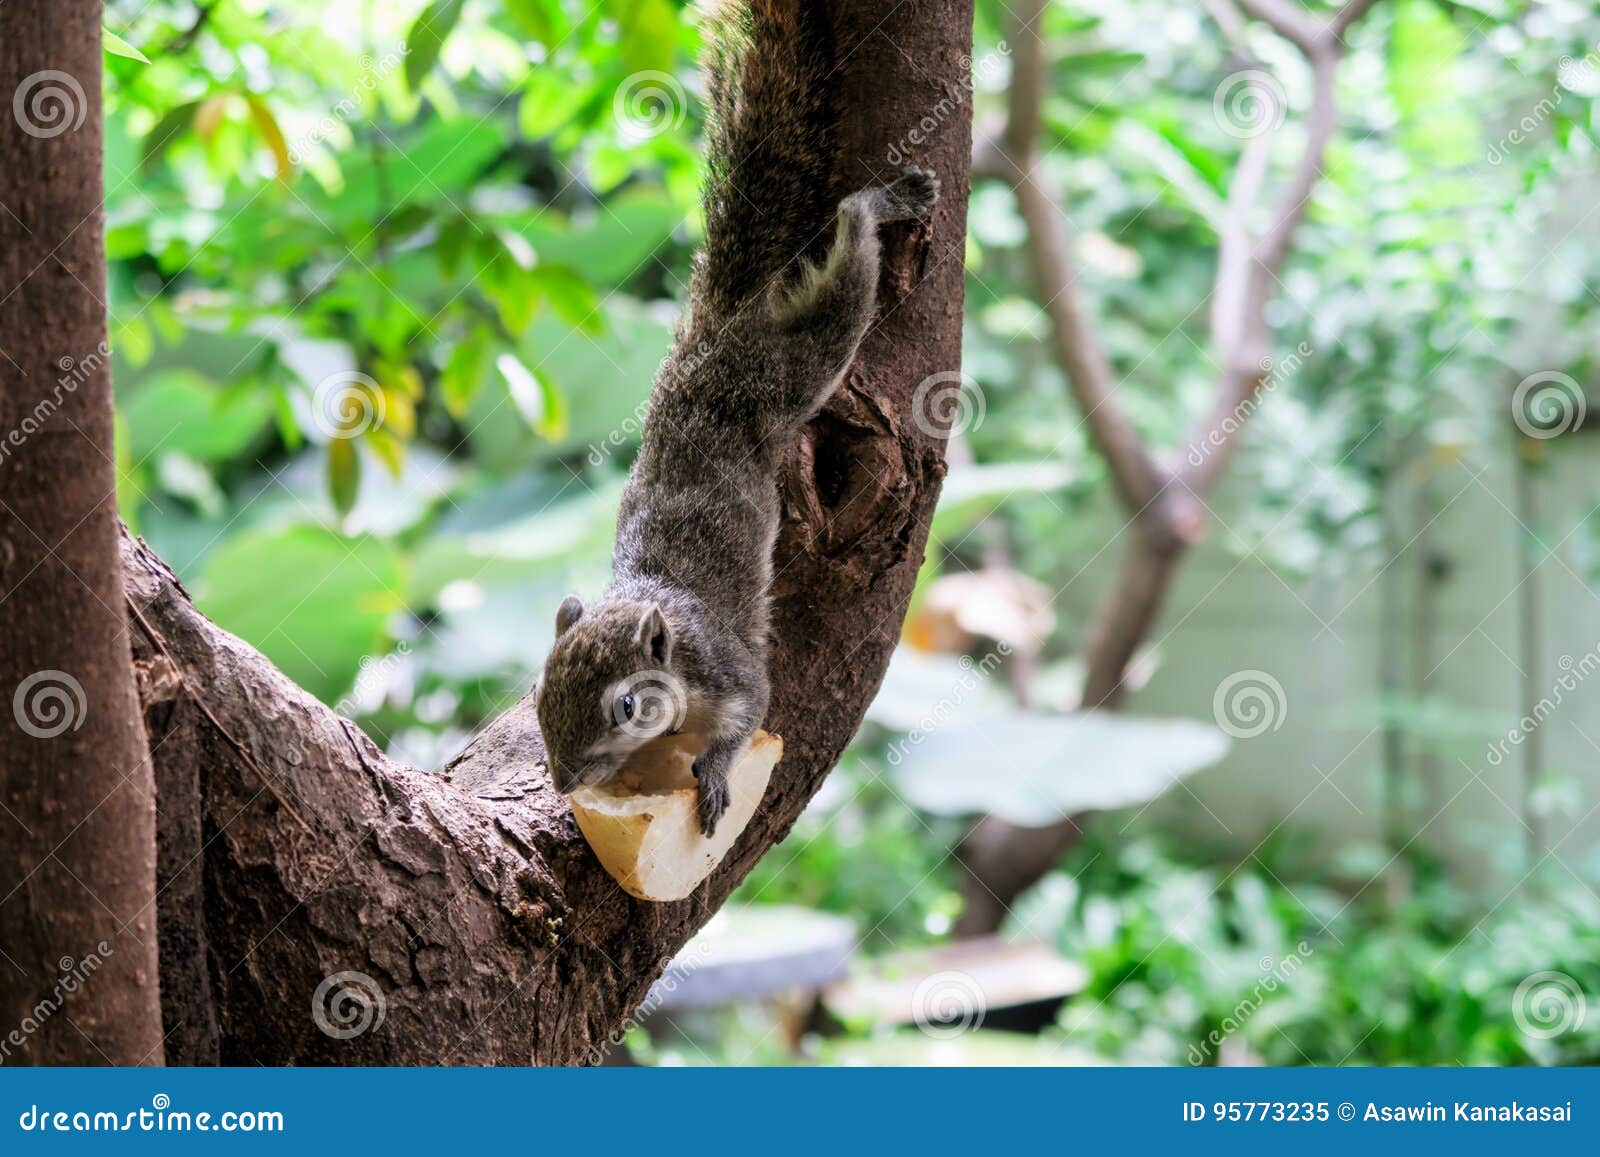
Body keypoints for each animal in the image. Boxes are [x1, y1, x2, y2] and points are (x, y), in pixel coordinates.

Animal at [535, 0, 938, 836]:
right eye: (538, 690)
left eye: (625, 705)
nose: (564, 779)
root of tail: (715, 336)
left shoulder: (730, 669)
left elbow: (754, 709)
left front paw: (718, 771)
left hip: (791, 375)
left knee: (847, 269)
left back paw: (884, 204)